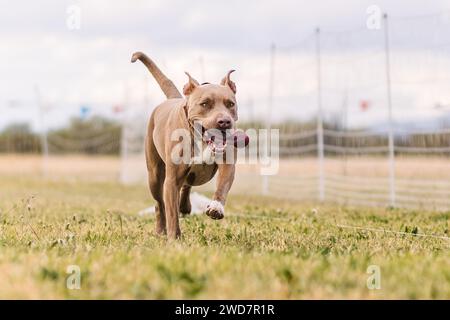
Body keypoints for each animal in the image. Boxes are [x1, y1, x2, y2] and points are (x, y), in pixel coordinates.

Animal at [131, 52, 241, 238]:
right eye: (205, 104)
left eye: (230, 104)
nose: (225, 122)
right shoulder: (171, 179)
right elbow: (171, 212)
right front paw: (174, 238)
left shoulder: (227, 164)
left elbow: (222, 185)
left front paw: (216, 207)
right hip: (154, 175)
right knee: (159, 203)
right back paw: (161, 229)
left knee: (186, 185)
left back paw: (185, 206)